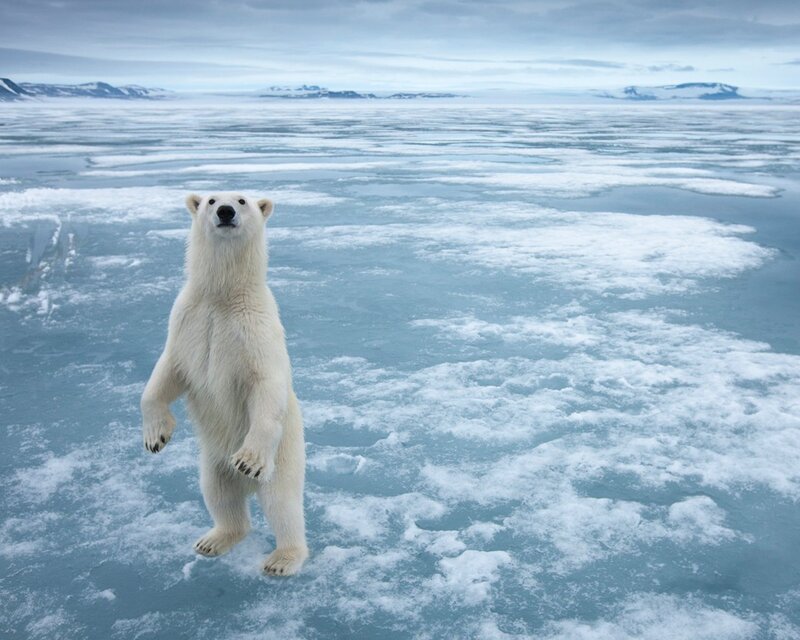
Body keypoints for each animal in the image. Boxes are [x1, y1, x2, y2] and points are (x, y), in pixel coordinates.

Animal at [140, 192, 308, 576]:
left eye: (242, 200)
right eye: (211, 199)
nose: (226, 211)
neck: (222, 296)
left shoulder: (255, 330)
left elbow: (266, 385)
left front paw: (248, 459)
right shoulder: (187, 321)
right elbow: (166, 374)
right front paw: (156, 437)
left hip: (285, 455)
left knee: (282, 503)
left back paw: (283, 558)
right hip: (212, 461)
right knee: (219, 494)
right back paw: (213, 540)